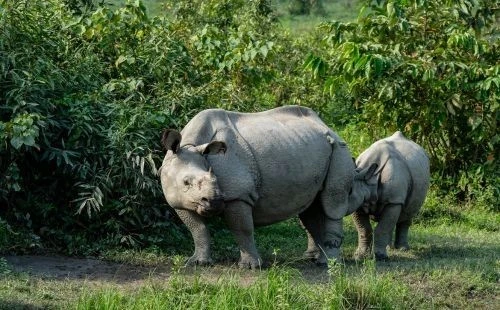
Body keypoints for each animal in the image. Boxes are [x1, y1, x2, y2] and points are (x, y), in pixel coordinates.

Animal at [158, 105, 354, 268]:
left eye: (214, 177)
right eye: (186, 182)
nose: (215, 201)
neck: (190, 145)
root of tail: (327, 126)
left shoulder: (238, 194)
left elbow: (242, 229)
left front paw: (251, 267)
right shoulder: (180, 201)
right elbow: (198, 230)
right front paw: (198, 262)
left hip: (340, 149)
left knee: (332, 204)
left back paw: (328, 264)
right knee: (310, 208)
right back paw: (313, 258)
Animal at [348, 132, 430, 260]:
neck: (370, 179)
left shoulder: (394, 200)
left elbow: (382, 227)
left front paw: (380, 257)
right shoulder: (359, 202)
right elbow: (364, 229)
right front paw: (360, 256)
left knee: (408, 212)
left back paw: (402, 249)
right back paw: (389, 248)